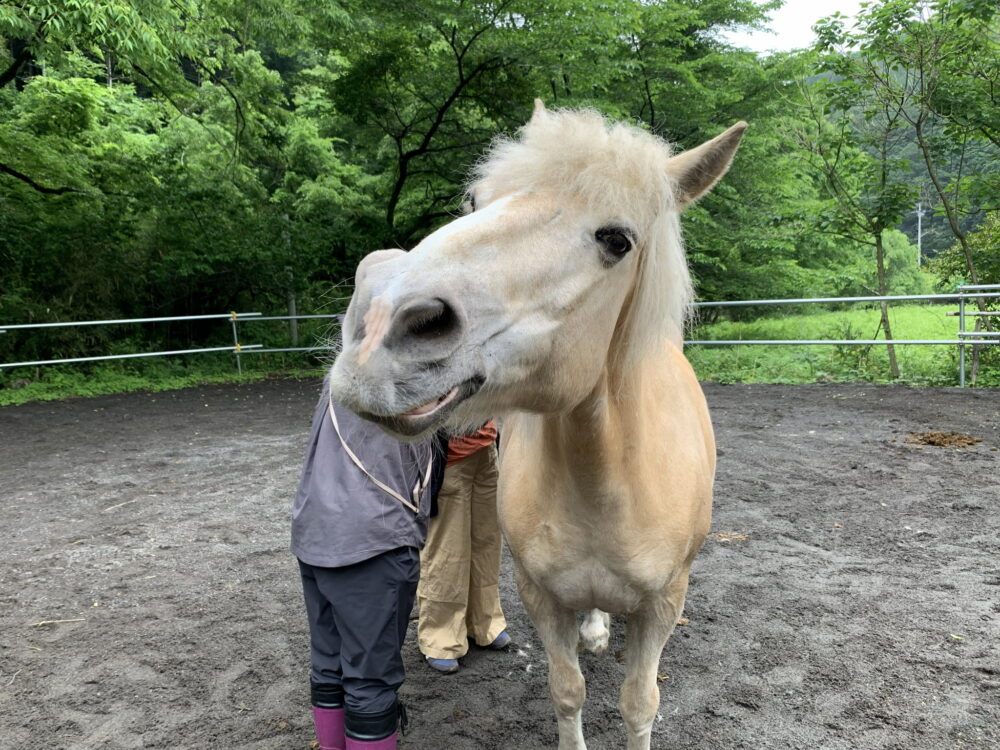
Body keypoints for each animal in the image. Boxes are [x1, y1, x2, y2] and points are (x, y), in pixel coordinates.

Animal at [328, 100, 745, 749]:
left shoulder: (662, 605)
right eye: (477, 201)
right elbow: (566, 691)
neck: (606, 478)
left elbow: (639, 703)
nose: (380, 326)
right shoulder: (541, 597)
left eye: (617, 240)